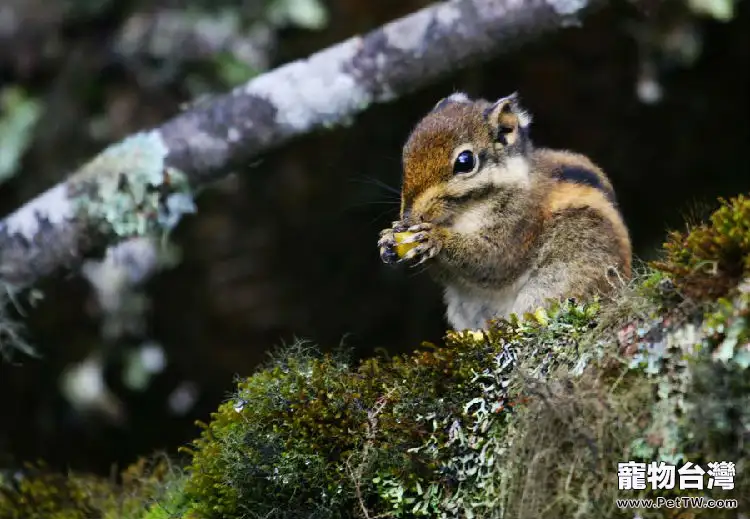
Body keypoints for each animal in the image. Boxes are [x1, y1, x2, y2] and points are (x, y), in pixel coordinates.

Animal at [378, 92, 632, 332]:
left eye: (465, 161)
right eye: (406, 152)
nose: (409, 217)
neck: (462, 214)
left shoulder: (522, 222)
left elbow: (494, 259)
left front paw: (434, 238)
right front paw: (389, 239)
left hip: (562, 277)